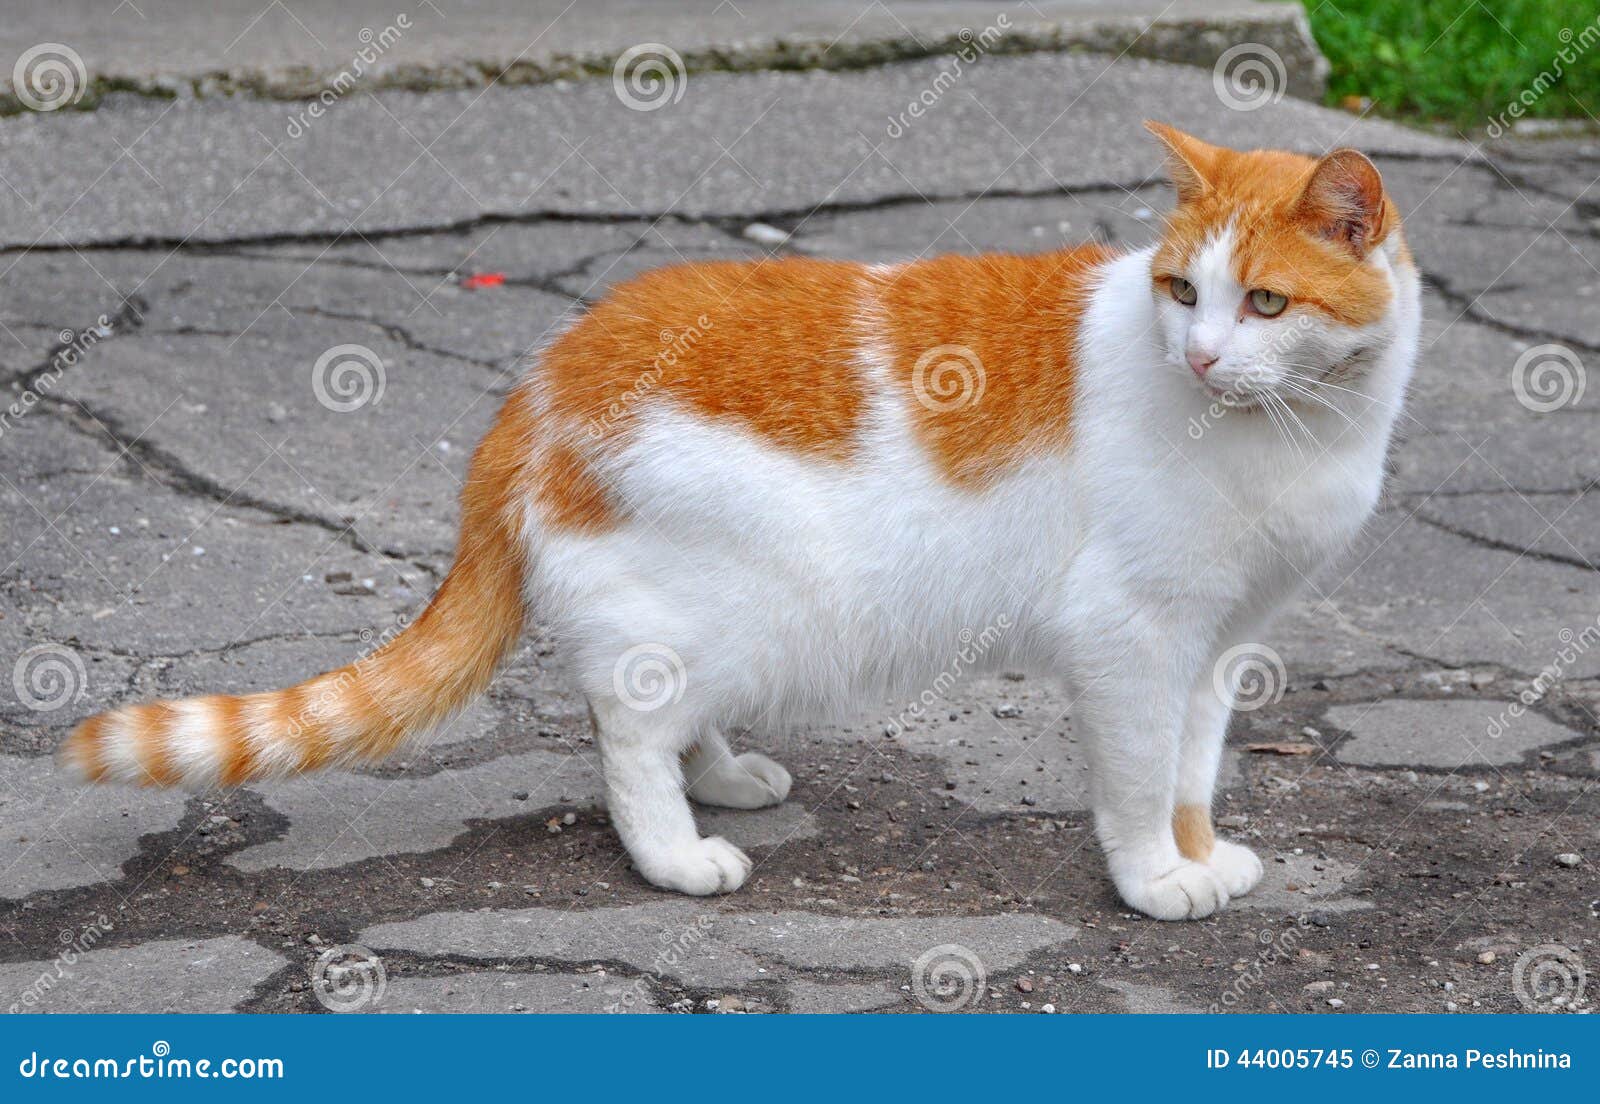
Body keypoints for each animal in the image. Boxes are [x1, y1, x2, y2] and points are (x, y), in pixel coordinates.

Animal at [59, 124, 1427, 921]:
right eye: (1181, 288)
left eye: (1261, 303)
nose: (1198, 357)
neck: (1294, 433)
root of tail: (545, 373)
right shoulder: (1132, 634)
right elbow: (1142, 780)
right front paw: (1154, 879)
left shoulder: (1218, 645)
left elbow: (1193, 769)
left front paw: (1203, 855)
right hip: (743, 601)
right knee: (624, 725)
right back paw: (674, 851)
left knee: (668, 710)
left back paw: (721, 776)